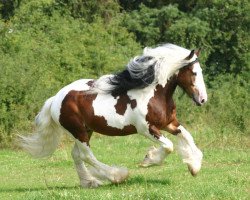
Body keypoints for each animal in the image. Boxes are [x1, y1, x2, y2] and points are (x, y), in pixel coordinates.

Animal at [19, 43, 207, 188]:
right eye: (194, 73)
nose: (203, 99)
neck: (152, 94)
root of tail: (56, 98)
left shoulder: (170, 123)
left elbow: (187, 137)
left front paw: (194, 166)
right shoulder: (146, 129)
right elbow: (169, 146)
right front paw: (148, 160)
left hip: (85, 131)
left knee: (77, 155)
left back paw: (90, 182)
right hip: (78, 131)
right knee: (87, 155)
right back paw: (117, 176)